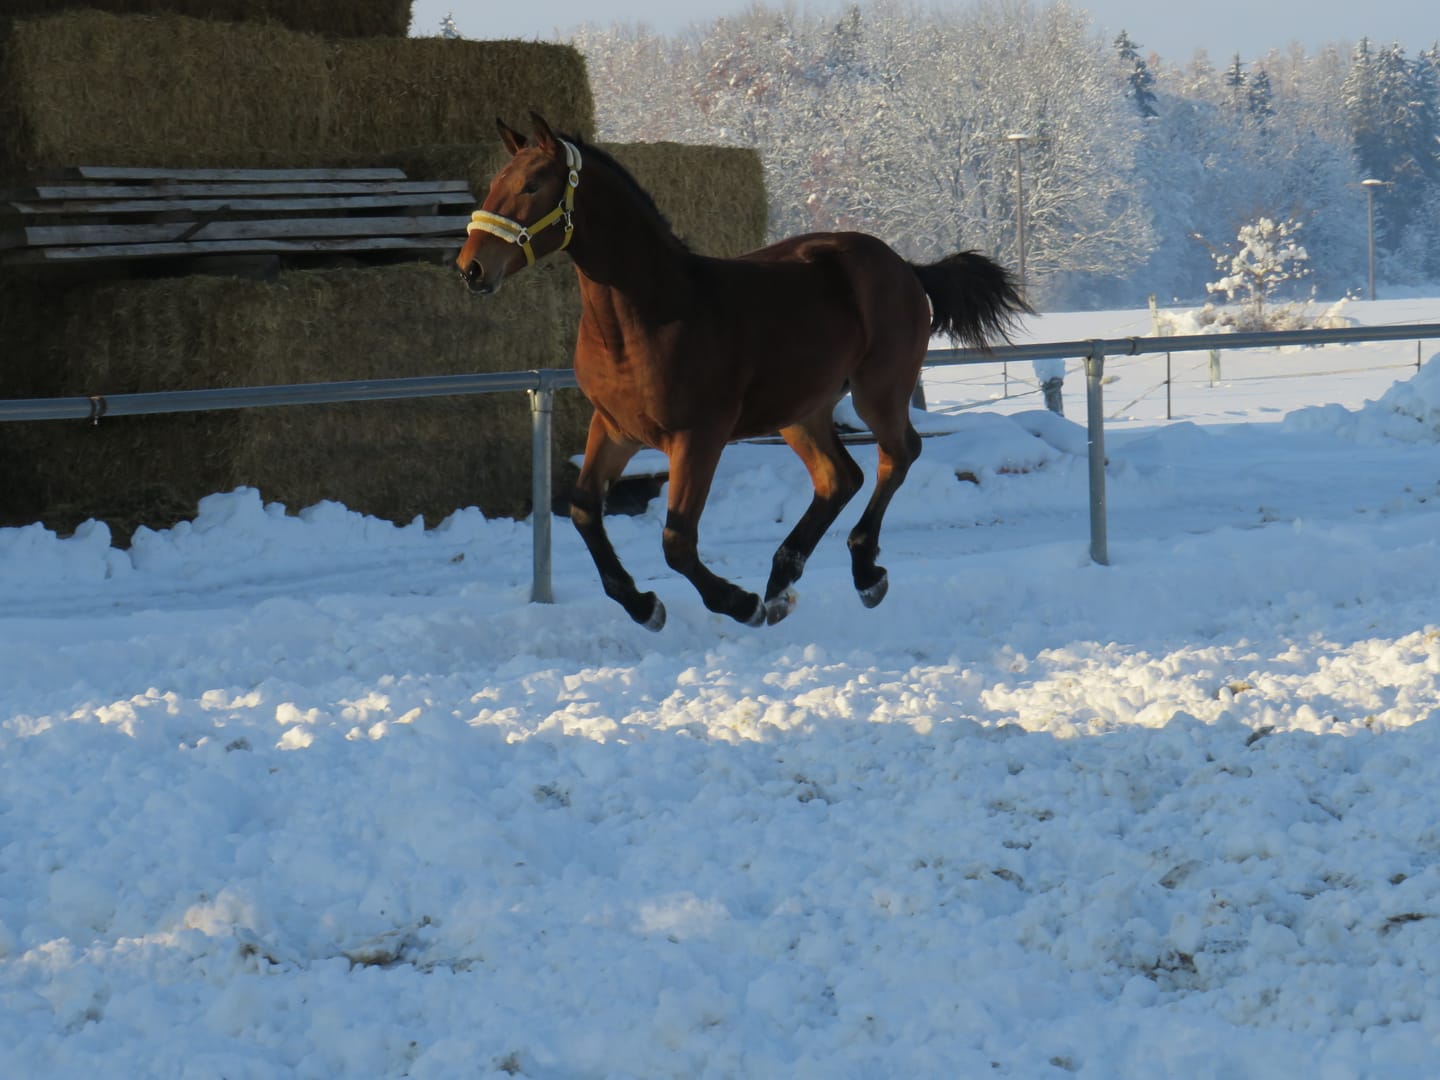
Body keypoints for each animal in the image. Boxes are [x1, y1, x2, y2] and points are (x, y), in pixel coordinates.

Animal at [457, 113, 1030, 632]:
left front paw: (737, 602)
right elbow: (582, 510)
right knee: (840, 476)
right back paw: (781, 580)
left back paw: (863, 573)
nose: (471, 268)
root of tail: (906, 266)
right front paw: (644, 606)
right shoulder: (615, 429)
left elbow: (677, 540)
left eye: (532, 185)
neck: (648, 315)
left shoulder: (698, 436)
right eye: (496, 182)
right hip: (801, 411)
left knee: (898, 455)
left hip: (878, 391)